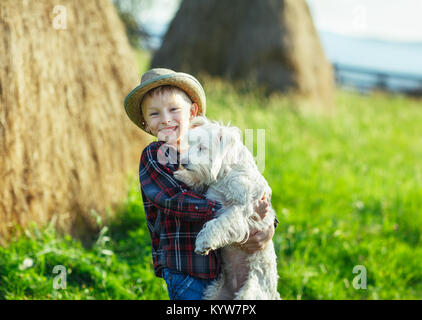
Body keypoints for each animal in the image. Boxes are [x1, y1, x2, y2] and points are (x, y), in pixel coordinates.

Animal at [173, 117, 282, 300]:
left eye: (202, 147)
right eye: (190, 144)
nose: (183, 162)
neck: (226, 174)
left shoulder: (240, 210)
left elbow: (220, 223)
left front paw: (204, 242)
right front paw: (185, 176)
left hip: (250, 293)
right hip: (214, 292)